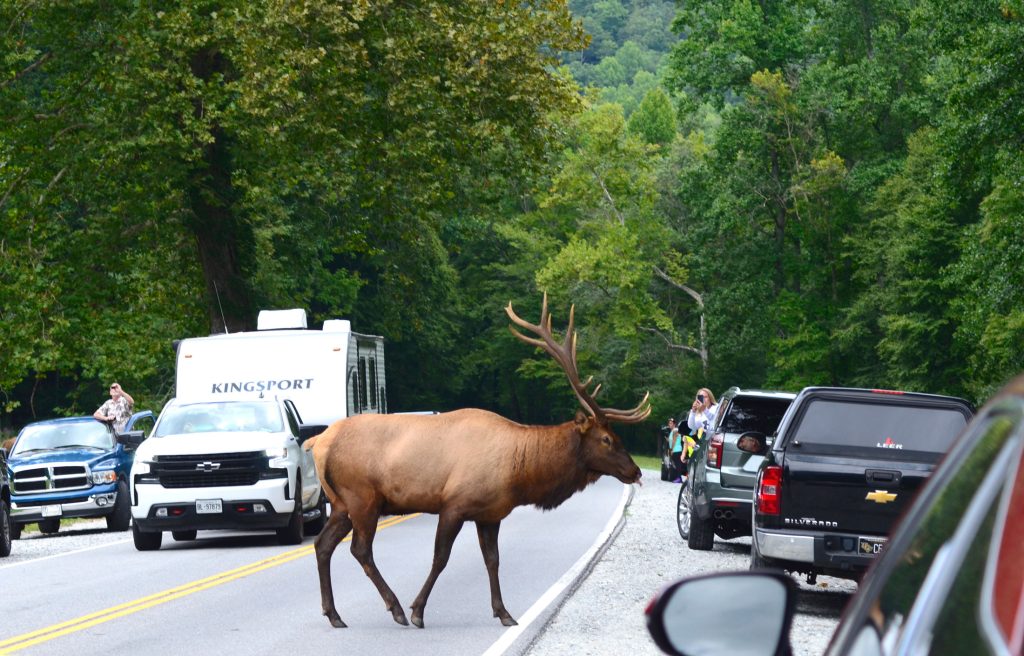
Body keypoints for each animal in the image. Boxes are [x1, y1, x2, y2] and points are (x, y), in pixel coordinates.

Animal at [307, 294, 651, 626]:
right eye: (606, 439)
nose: (635, 471)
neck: (520, 473)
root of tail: (319, 442)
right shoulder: (454, 504)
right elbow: (440, 558)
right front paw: (418, 610)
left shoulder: (490, 514)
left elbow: (493, 560)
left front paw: (504, 612)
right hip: (363, 497)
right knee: (360, 550)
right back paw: (396, 609)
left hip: (341, 503)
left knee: (323, 544)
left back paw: (334, 614)